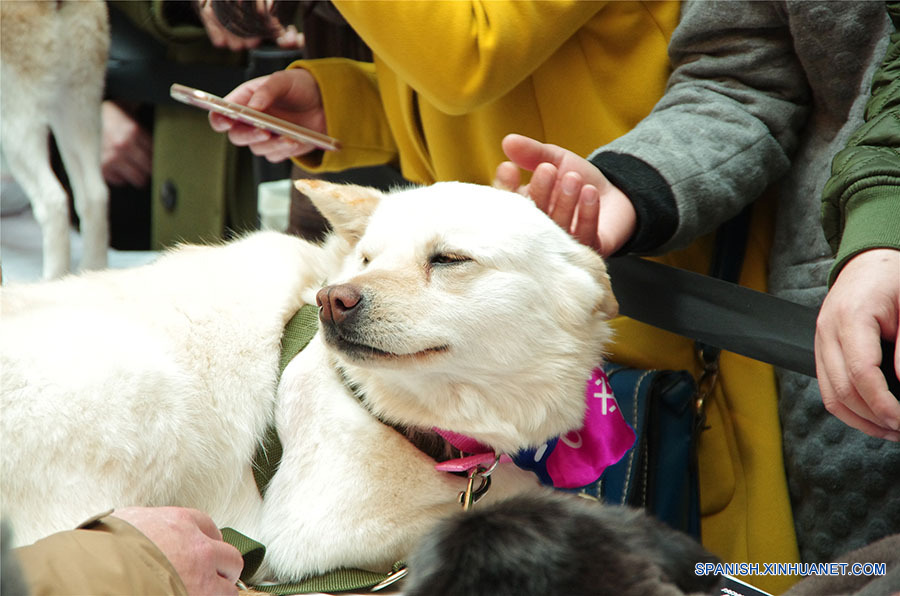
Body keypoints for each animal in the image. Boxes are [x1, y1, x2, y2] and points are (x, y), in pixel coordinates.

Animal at [0, 0, 109, 280]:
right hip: (80, 107)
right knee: (95, 194)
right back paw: (91, 270)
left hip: (17, 123)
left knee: (53, 201)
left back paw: (51, 279)